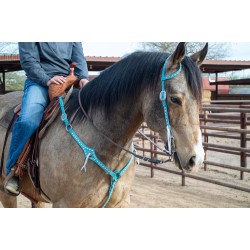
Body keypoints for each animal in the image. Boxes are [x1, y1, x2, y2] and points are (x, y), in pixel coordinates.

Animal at [0, 42, 207, 207]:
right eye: (175, 99)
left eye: (199, 100)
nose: (195, 159)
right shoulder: (65, 204)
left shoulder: (118, 204)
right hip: (6, 193)